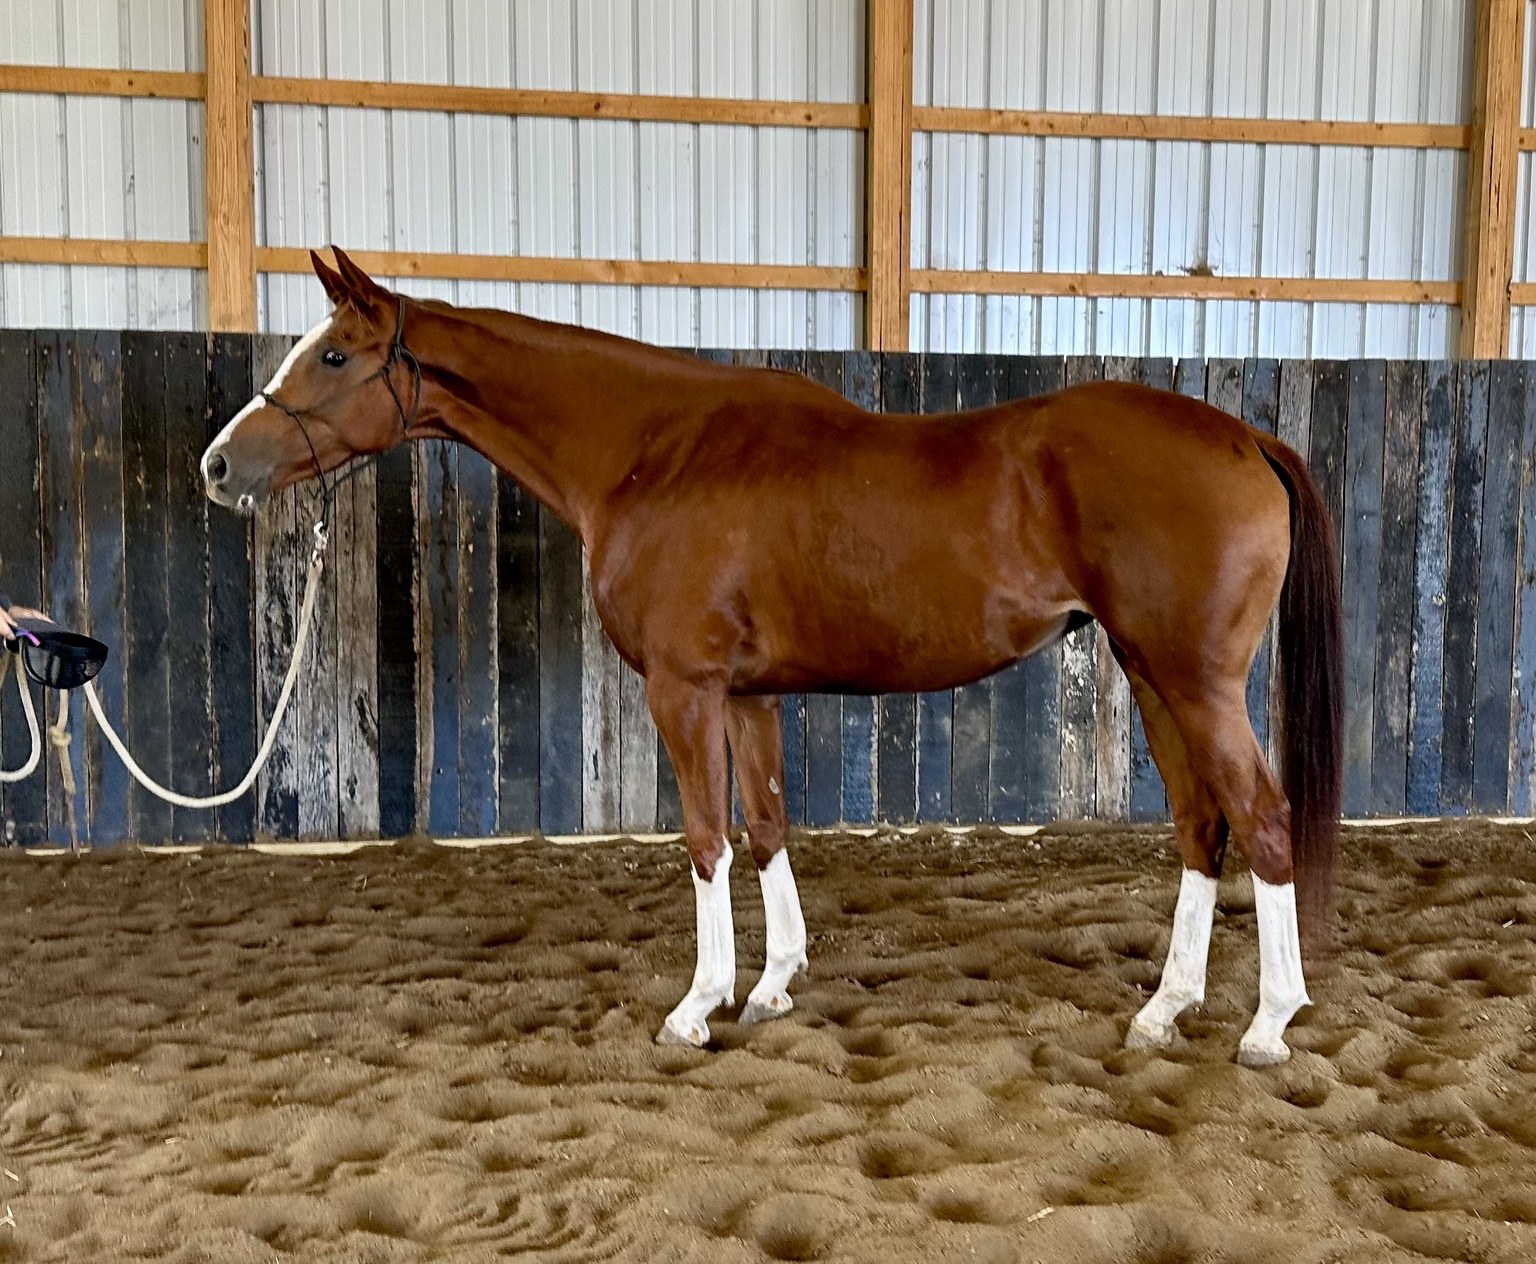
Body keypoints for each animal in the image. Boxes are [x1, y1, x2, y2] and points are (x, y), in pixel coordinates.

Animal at [201, 248, 1343, 1067]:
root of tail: (1244, 438)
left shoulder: (684, 690)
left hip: (1196, 682)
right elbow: (764, 826)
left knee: (1264, 819)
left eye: (332, 356)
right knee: (1202, 826)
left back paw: (1267, 1024)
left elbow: (706, 839)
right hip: (1153, 676)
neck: (651, 453)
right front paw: (770, 986)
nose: (217, 464)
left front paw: (696, 1005)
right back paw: (1163, 1010)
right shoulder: (747, 696)